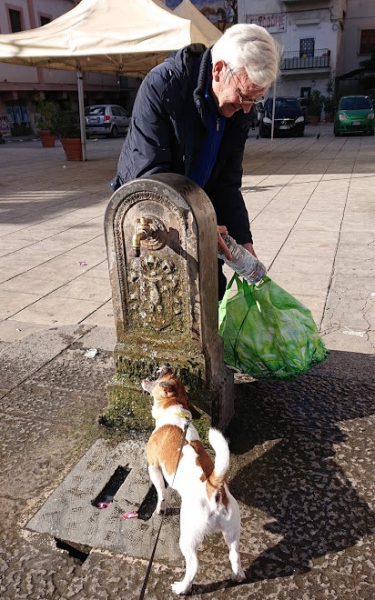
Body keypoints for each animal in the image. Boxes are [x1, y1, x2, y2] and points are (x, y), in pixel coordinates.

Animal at [142, 366, 247, 596]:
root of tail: (213, 489)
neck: (175, 412)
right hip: (232, 531)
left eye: (163, 376)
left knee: (194, 565)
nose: (166, 365)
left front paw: (159, 509)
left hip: (188, 536)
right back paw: (237, 575)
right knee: (234, 555)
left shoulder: (153, 467)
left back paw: (182, 587)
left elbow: (161, 493)